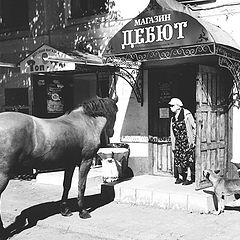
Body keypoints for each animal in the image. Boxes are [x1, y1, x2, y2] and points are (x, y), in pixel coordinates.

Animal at [0, 95, 117, 236]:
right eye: (115, 111)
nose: (111, 133)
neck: (86, 122)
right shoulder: (86, 161)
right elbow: (81, 185)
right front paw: (83, 211)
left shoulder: (70, 164)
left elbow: (66, 185)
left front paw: (65, 210)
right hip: (4, 175)